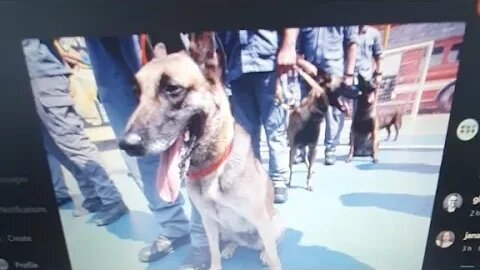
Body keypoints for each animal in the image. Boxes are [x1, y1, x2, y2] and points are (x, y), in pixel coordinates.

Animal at [118, 32, 284, 268]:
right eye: (136, 94)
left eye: (172, 89)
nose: (127, 145)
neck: (212, 167)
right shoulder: (209, 223)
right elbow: (213, 252)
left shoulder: (261, 221)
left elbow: (274, 257)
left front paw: (269, 258)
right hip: (224, 229)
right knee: (234, 240)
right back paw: (231, 247)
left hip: (274, 223)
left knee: (269, 244)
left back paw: (261, 253)